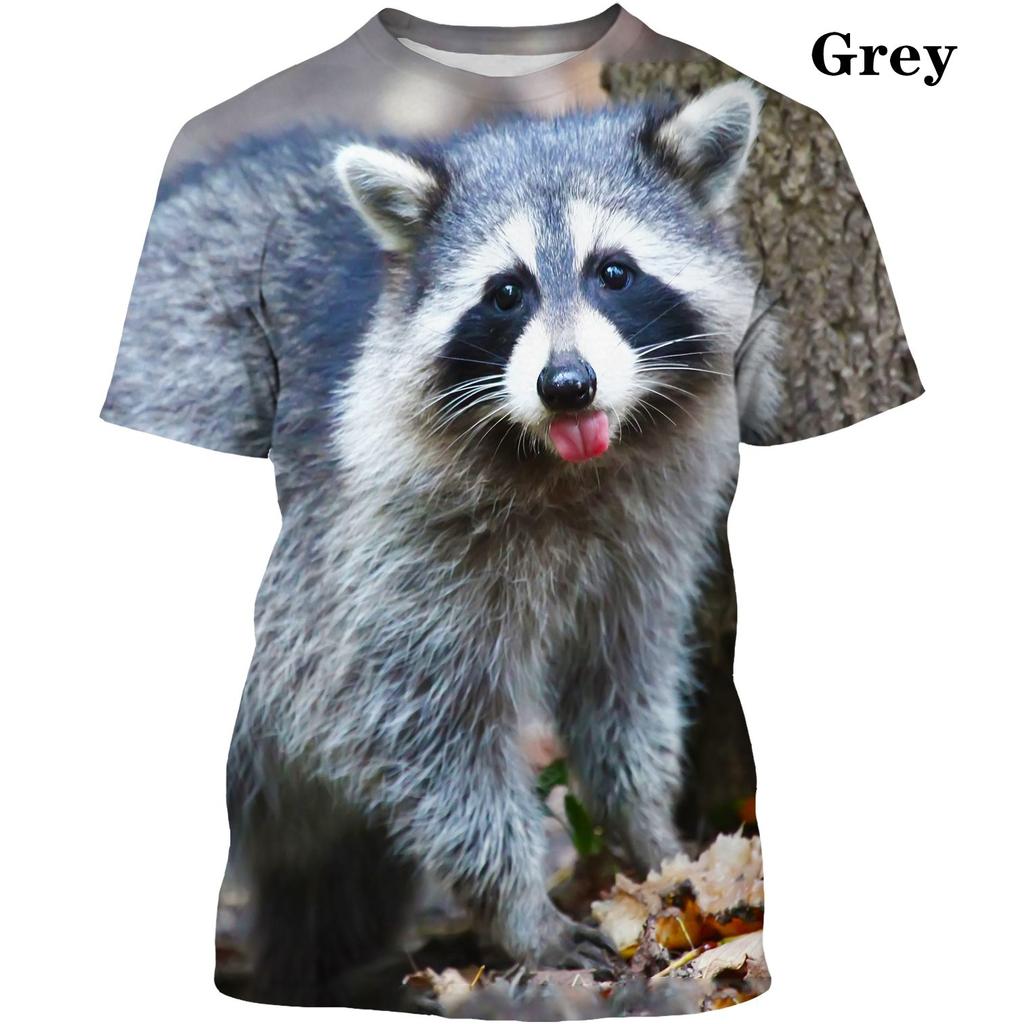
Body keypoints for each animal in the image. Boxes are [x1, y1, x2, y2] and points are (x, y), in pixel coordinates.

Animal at [142, 80, 778, 1005]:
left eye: (614, 272)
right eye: (505, 293)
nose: (566, 384)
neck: (562, 465)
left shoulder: (649, 531)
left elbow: (626, 681)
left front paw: (650, 832)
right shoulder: (360, 544)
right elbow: (418, 729)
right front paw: (518, 905)